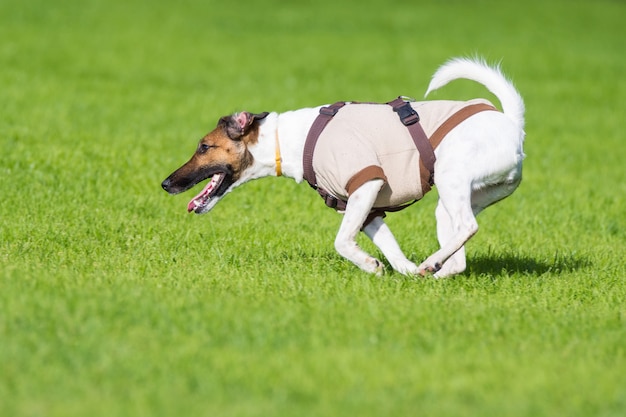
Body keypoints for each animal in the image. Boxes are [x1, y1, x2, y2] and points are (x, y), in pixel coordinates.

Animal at [160, 56, 520, 276]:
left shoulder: (365, 185)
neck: (289, 138)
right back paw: (433, 270)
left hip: (449, 178)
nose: (165, 183)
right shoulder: (366, 208)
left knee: (468, 227)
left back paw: (432, 262)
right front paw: (403, 271)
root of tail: (513, 124)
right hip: (455, 202)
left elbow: (342, 241)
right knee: (458, 252)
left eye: (204, 147)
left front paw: (370, 265)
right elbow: (392, 251)